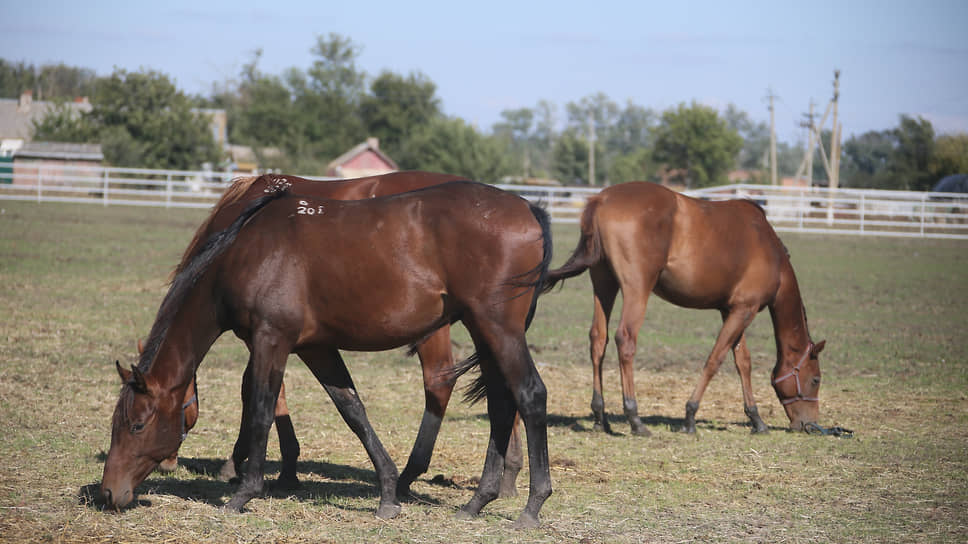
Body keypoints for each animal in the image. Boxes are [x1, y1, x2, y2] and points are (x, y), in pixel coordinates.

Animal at [100, 182, 552, 528]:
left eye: (137, 425)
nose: (107, 492)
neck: (248, 252)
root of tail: (527, 207)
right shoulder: (316, 348)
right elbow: (352, 409)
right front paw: (388, 493)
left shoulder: (271, 341)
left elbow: (261, 408)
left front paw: (245, 491)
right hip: (483, 331)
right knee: (500, 406)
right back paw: (477, 501)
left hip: (498, 329)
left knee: (530, 396)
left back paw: (532, 507)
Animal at [544, 182, 824, 434]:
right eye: (816, 379)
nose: (808, 425)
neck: (769, 249)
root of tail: (602, 199)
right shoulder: (745, 309)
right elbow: (715, 359)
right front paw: (690, 416)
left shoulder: (733, 309)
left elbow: (743, 362)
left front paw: (756, 419)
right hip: (637, 289)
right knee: (625, 339)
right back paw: (635, 419)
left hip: (604, 284)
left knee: (597, 339)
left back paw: (600, 418)